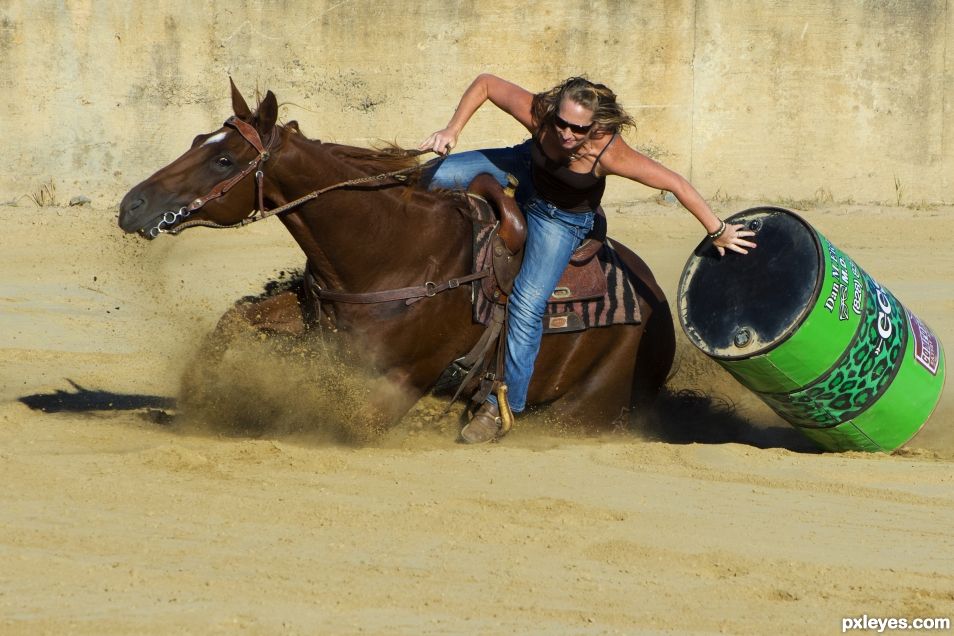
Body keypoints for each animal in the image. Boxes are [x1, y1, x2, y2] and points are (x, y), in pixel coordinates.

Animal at [119, 78, 672, 438]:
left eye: (224, 159)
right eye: (198, 140)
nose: (132, 205)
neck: (391, 251)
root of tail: (657, 302)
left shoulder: (398, 384)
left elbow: (347, 419)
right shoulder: (314, 315)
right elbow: (234, 320)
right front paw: (197, 397)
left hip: (586, 408)